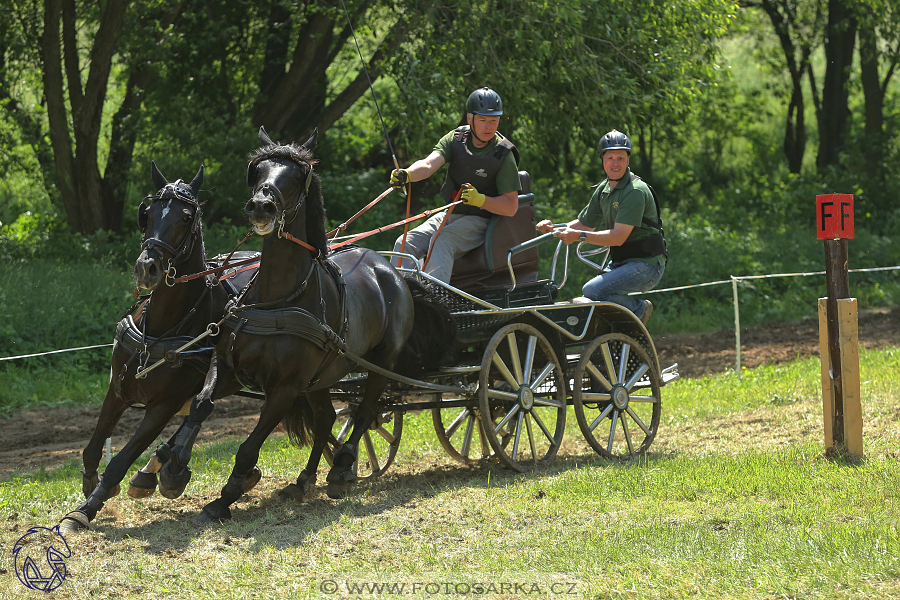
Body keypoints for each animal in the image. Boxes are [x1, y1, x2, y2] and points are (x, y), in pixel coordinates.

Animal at [60, 162, 258, 532]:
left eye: (185, 217)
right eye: (147, 214)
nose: (146, 267)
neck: (164, 326)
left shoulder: (163, 405)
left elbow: (120, 459)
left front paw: (85, 510)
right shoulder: (118, 387)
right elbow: (93, 449)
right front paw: (91, 486)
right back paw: (159, 469)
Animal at [161, 126, 450, 520]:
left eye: (298, 177)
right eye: (258, 170)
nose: (261, 205)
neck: (276, 299)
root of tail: (389, 267)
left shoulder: (285, 388)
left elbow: (250, 446)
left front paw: (226, 496)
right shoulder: (227, 363)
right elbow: (201, 404)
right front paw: (173, 467)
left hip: (381, 362)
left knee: (365, 411)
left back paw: (342, 468)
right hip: (322, 375)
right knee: (327, 418)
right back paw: (304, 480)